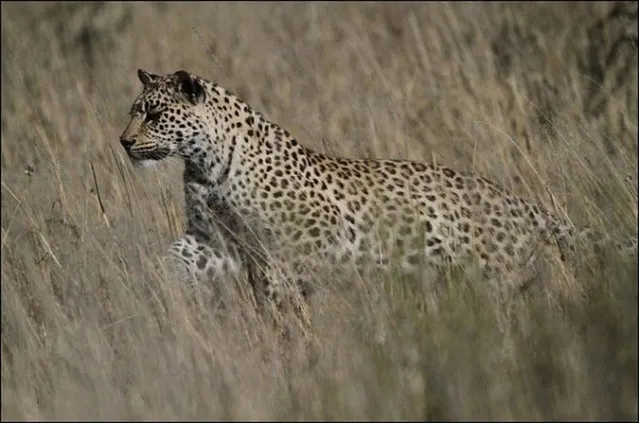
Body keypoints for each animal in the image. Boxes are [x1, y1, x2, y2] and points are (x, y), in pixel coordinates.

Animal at [117, 68, 636, 332]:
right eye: (134, 113)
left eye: (155, 115)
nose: (123, 142)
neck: (205, 164)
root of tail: (516, 201)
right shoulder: (214, 240)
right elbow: (177, 256)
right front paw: (152, 288)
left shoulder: (309, 239)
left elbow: (286, 282)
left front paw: (289, 321)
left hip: (495, 278)